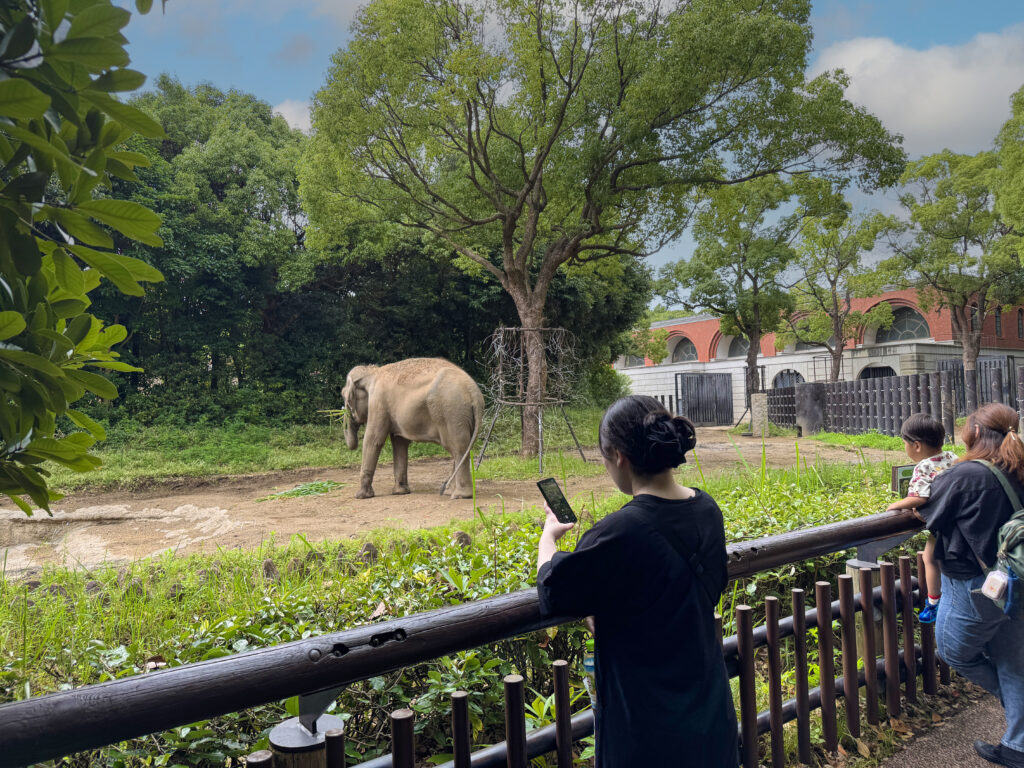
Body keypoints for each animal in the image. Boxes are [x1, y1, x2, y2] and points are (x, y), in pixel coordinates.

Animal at [342, 358, 485, 499]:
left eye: (343, 395)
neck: (372, 372)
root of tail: (473, 391)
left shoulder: (378, 402)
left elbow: (373, 440)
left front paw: (361, 496)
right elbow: (399, 442)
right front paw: (400, 492)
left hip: (452, 412)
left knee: (457, 447)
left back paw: (460, 495)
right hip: (462, 415)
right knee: (462, 447)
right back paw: (449, 491)